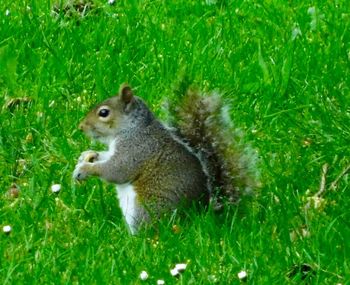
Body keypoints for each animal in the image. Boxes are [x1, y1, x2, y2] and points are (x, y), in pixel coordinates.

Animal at [72, 82, 258, 233]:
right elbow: (105, 156)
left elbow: (116, 170)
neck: (132, 128)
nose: (81, 127)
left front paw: (85, 169)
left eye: (104, 113)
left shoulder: (137, 149)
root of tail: (204, 211)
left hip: (148, 208)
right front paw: (88, 155)